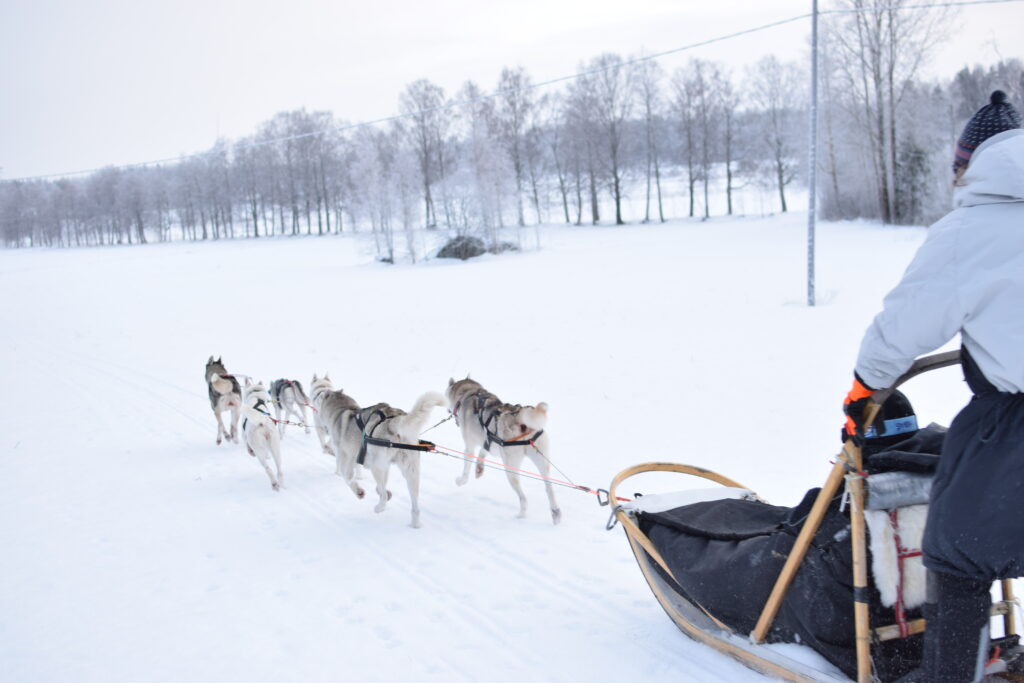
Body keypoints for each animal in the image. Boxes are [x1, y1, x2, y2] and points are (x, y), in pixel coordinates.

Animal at [446, 376, 561, 528]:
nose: (448, 410)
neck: (471, 392)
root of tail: (519, 419)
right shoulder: (486, 441)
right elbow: (483, 452)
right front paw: (479, 469)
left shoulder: (469, 447)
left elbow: (466, 471)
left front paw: (460, 481)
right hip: (542, 462)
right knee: (549, 488)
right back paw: (556, 513)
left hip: (510, 469)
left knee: (523, 498)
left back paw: (521, 515)